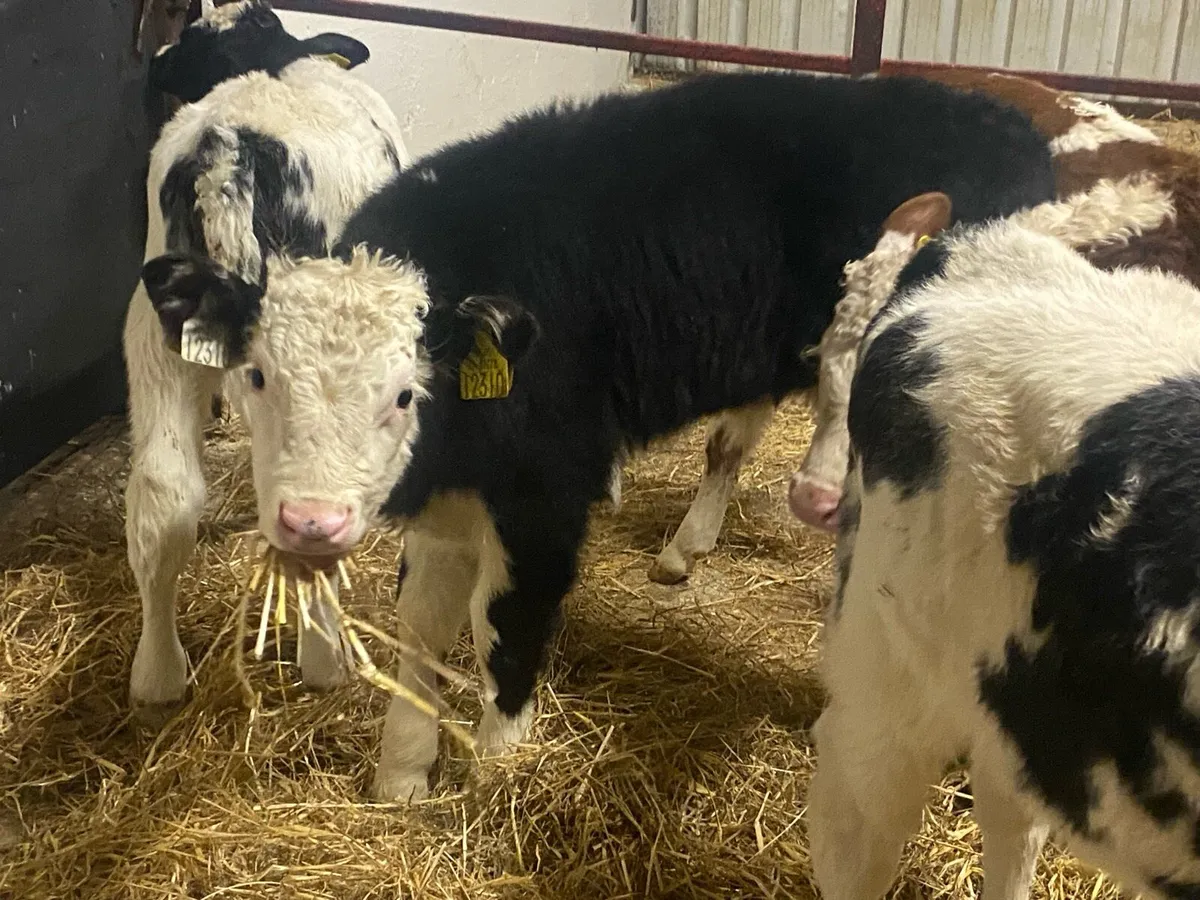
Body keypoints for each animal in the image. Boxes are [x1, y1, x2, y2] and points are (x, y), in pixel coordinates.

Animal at [137, 70, 1056, 800]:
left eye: (403, 394)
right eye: (259, 377)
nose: (310, 523)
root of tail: (998, 117)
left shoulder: (545, 490)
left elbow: (502, 619)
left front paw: (497, 764)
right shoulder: (455, 495)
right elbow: (422, 625)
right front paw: (400, 774)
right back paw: (694, 549)